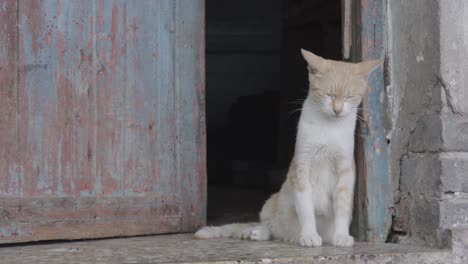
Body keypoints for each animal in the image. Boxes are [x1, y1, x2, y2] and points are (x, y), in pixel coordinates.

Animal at [196, 49, 382, 248]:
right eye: (329, 95)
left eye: (349, 97)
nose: (338, 110)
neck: (328, 127)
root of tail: (288, 236)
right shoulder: (301, 167)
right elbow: (306, 208)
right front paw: (309, 235)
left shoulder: (345, 171)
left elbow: (343, 207)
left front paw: (341, 236)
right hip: (271, 201)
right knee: (270, 225)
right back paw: (256, 232)